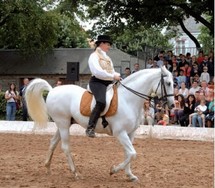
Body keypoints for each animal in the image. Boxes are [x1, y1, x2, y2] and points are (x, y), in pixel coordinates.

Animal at [25, 66, 175, 182]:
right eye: (168, 83)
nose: (172, 105)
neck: (128, 99)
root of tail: (52, 90)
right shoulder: (120, 133)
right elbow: (132, 153)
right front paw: (113, 170)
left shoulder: (130, 133)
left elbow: (129, 154)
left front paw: (130, 175)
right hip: (63, 124)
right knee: (65, 147)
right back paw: (75, 173)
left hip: (64, 124)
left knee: (53, 143)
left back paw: (48, 168)